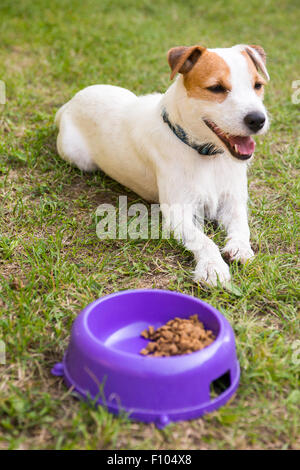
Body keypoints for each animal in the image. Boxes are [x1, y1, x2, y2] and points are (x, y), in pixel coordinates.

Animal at [55, 44, 270, 286]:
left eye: (258, 85)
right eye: (216, 88)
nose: (257, 119)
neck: (206, 155)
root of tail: (71, 102)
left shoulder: (234, 201)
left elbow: (242, 226)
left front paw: (241, 247)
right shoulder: (179, 214)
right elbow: (203, 240)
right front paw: (212, 266)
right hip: (78, 157)